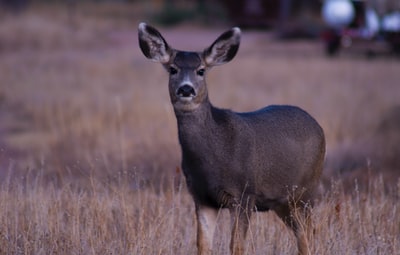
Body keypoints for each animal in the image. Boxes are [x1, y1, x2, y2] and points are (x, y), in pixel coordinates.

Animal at [138, 22, 324, 255]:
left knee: (309, 234)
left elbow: (236, 246)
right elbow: (202, 245)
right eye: (173, 69)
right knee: (303, 235)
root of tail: (318, 126)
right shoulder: (202, 196)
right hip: (283, 202)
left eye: (201, 70)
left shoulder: (244, 194)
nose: (186, 89)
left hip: (306, 191)